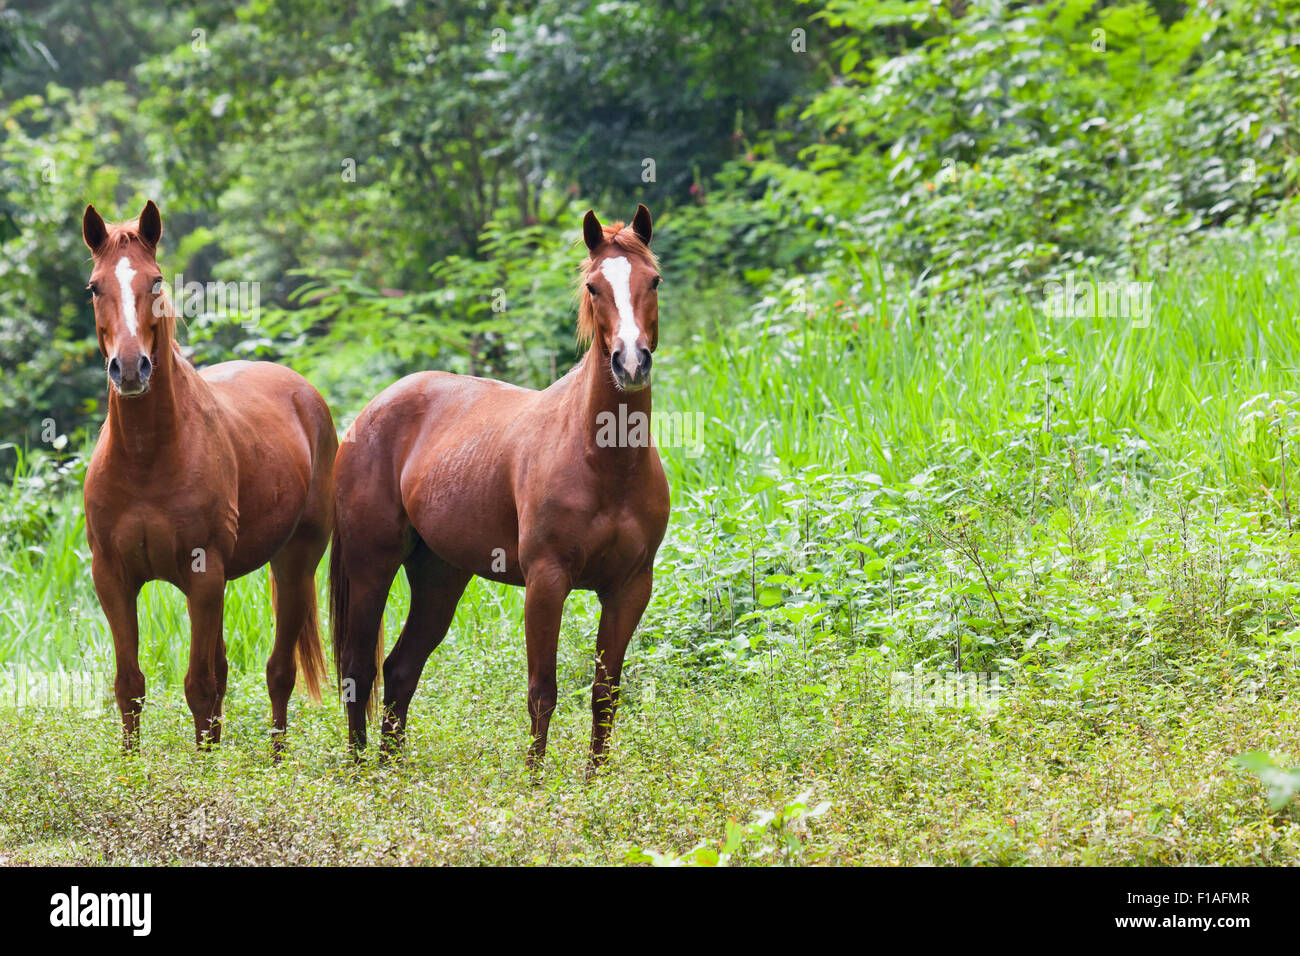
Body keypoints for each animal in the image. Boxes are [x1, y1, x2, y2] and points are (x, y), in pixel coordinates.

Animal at [79, 204, 335, 754]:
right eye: (94, 286)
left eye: (155, 281)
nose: (129, 368)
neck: (146, 457)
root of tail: (301, 391)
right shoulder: (112, 577)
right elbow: (130, 686)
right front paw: (131, 770)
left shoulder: (202, 574)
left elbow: (198, 686)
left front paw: (203, 768)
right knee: (222, 672)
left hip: (295, 562)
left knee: (278, 672)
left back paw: (277, 761)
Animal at [330, 205, 670, 775]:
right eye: (594, 286)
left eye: (654, 280)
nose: (631, 362)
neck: (606, 463)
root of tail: (369, 412)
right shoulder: (546, 581)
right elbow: (542, 692)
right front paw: (535, 784)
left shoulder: (629, 588)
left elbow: (605, 694)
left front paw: (595, 784)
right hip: (371, 565)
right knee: (360, 669)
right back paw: (359, 776)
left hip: (440, 577)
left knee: (400, 670)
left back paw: (391, 773)